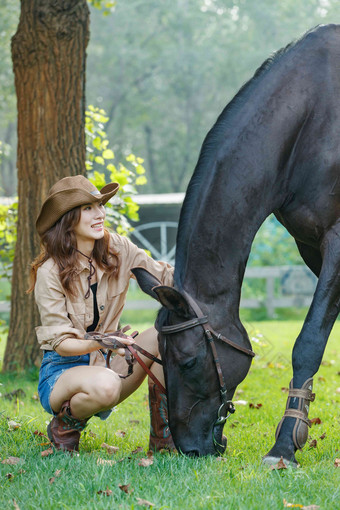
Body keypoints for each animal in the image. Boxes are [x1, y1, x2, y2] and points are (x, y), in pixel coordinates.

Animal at [132, 25, 340, 466]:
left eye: (188, 361)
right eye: (159, 354)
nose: (189, 447)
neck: (313, 115)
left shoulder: (338, 240)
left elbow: (309, 340)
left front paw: (284, 444)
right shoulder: (309, 245)